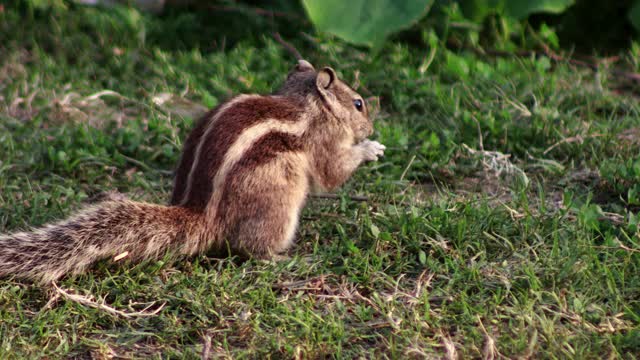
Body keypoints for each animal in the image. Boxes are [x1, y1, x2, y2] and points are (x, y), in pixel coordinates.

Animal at [0, 59, 384, 284]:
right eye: (358, 104)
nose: (370, 126)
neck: (305, 105)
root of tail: (201, 214)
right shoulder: (324, 142)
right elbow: (332, 173)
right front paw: (370, 148)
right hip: (277, 202)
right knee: (249, 248)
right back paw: (281, 258)